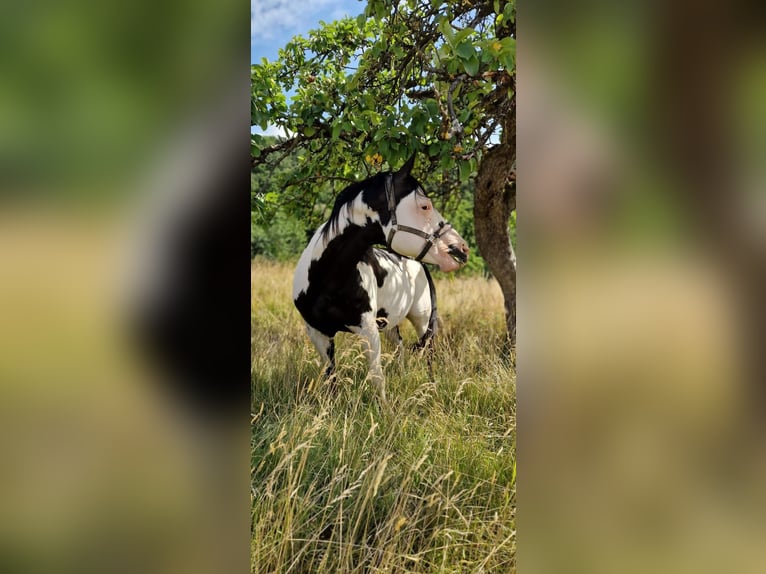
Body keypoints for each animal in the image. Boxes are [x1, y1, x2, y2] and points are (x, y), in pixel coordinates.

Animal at [292, 154, 469, 403]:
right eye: (425, 206)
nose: (461, 249)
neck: (326, 277)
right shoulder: (319, 334)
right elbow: (330, 377)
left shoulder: (368, 331)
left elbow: (377, 378)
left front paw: (383, 410)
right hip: (390, 323)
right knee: (401, 347)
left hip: (422, 320)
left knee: (429, 353)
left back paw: (431, 387)